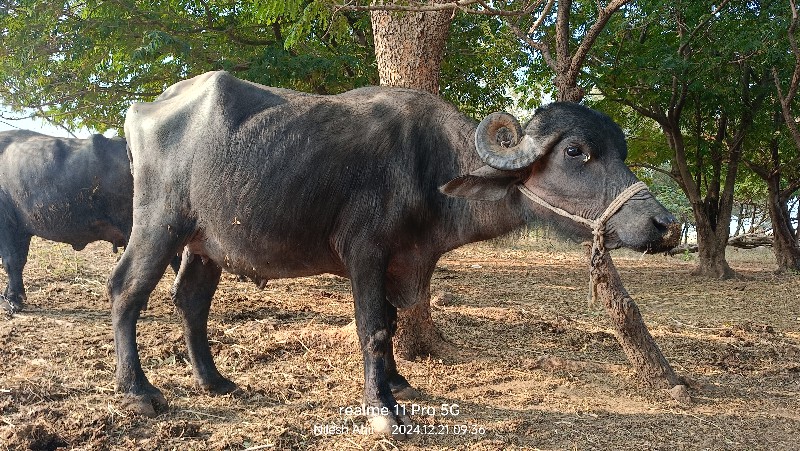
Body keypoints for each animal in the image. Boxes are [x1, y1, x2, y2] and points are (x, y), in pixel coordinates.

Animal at [109, 70, 680, 438]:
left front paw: (399, 383)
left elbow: (391, 316)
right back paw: (139, 390)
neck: (430, 168)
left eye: (622, 151)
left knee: (190, 301)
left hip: (205, 244)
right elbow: (374, 325)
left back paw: (214, 381)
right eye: (576, 151)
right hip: (159, 224)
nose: (666, 225)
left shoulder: (400, 261)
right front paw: (381, 407)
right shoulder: (365, 253)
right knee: (126, 290)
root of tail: (142, 110)